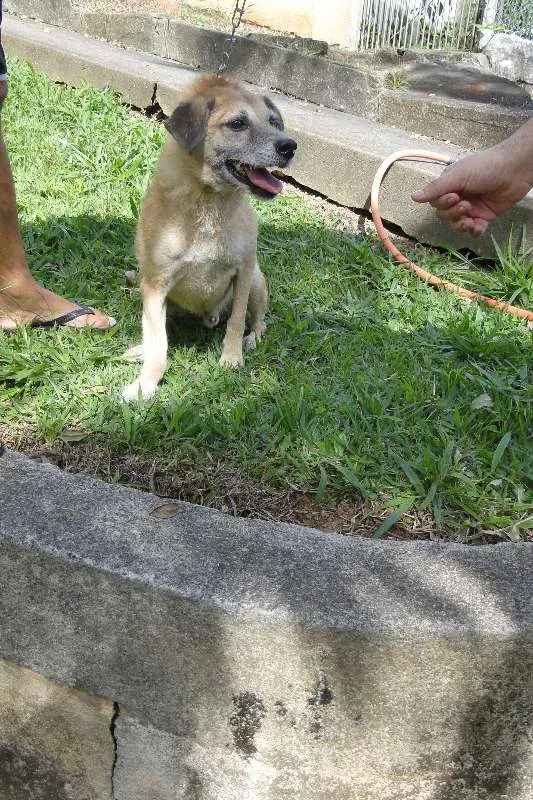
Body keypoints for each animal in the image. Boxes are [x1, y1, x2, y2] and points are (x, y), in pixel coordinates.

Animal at [122, 73, 298, 400]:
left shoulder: (243, 272)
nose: (290, 146)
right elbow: (158, 344)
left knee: (259, 320)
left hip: (257, 281)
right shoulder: (155, 286)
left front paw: (231, 358)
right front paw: (145, 384)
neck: (210, 205)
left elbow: (236, 320)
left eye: (273, 122)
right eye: (238, 123)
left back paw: (253, 338)